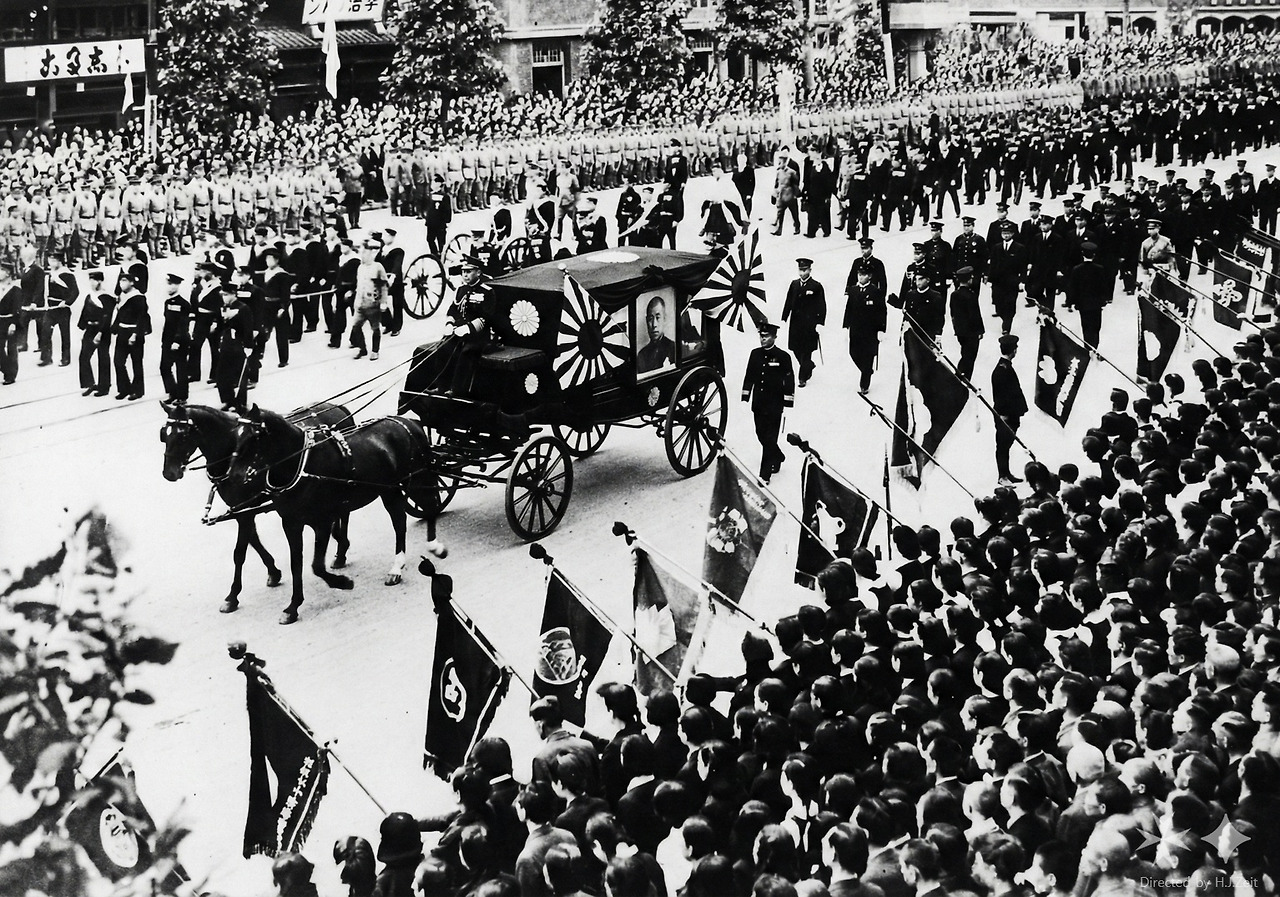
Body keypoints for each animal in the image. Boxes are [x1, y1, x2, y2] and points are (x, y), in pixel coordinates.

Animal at [160, 400, 356, 616]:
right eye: (164, 435)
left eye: (182, 435)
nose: (169, 473)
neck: (231, 453)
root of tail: (336, 406)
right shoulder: (240, 509)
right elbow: (253, 540)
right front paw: (273, 572)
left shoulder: (245, 512)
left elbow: (239, 553)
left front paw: (232, 596)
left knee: (344, 510)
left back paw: (341, 549)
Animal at [230, 405, 446, 624]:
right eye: (235, 435)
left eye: (253, 436)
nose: (233, 477)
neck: (302, 465)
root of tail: (410, 422)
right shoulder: (291, 523)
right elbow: (296, 564)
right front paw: (293, 607)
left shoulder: (322, 522)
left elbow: (317, 566)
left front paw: (342, 582)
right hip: (390, 490)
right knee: (400, 520)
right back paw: (397, 566)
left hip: (417, 479)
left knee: (429, 505)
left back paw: (432, 546)